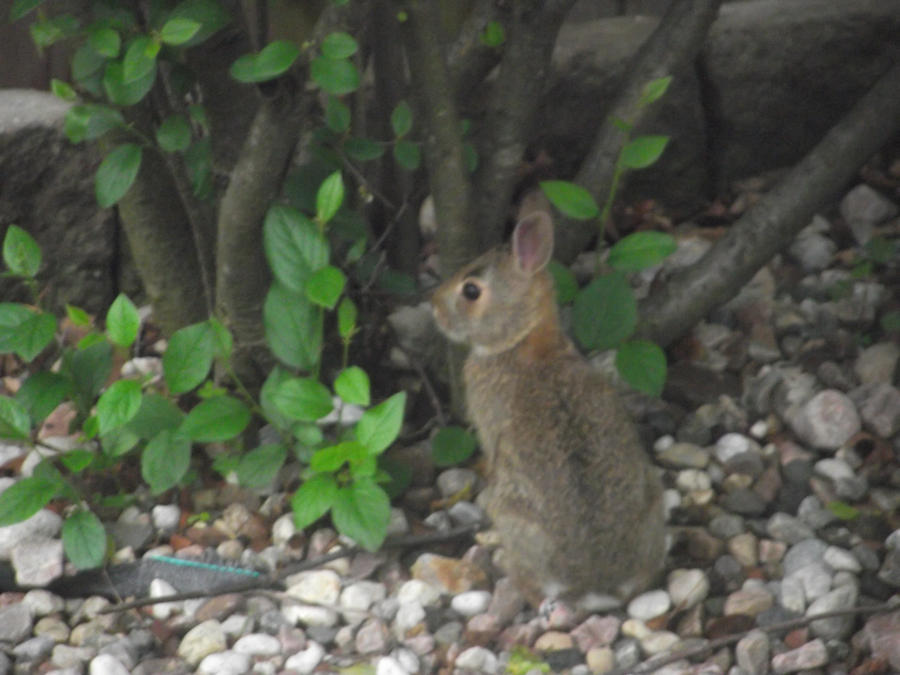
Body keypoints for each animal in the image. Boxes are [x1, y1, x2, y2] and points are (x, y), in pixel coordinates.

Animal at [431, 211, 666, 610]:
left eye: (471, 291)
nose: (433, 305)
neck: (521, 339)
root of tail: (596, 585)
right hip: (652, 494)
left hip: (511, 513)